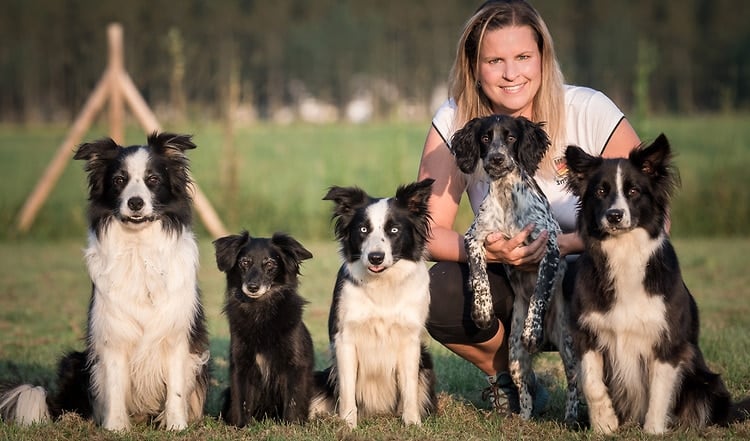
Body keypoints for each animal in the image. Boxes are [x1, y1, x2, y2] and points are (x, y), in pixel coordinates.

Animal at [0, 132, 212, 428]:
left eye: (153, 179)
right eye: (119, 180)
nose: (135, 203)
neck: (138, 247)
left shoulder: (176, 333)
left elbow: (176, 388)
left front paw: (175, 426)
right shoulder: (112, 332)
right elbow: (114, 384)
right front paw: (116, 428)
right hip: (75, 361)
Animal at [213, 232, 316, 424]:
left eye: (270, 264)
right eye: (244, 262)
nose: (253, 287)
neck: (260, 312)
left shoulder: (295, 365)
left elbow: (293, 402)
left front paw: (292, 425)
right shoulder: (241, 364)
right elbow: (242, 402)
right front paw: (241, 426)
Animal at [312, 178, 440, 426]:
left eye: (394, 230)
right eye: (363, 229)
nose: (375, 258)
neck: (382, 285)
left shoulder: (409, 340)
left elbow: (410, 388)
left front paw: (412, 424)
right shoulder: (345, 338)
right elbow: (347, 389)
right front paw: (348, 425)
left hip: (426, 361)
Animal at [450, 115, 580, 422]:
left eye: (510, 137)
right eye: (485, 138)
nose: (496, 159)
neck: (507, 195)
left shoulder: (549, 247)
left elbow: (540, 293)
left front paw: (532, 331)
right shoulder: (474, 238)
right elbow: (479, 276)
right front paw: (482, 312)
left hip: (569, 347)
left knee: (574, 381)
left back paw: (571, 417)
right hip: (514, 354)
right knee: (524, 389)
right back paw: (523, 419)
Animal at [568, 135, 750, 434]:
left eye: (633, 191)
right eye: (601, 191)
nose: (614, 216)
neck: (624, 253)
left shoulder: (668, 341)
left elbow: (658, 391)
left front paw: (653, 431)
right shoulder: (587, 332)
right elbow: (591, 382)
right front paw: (605, 423)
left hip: (706, 382)